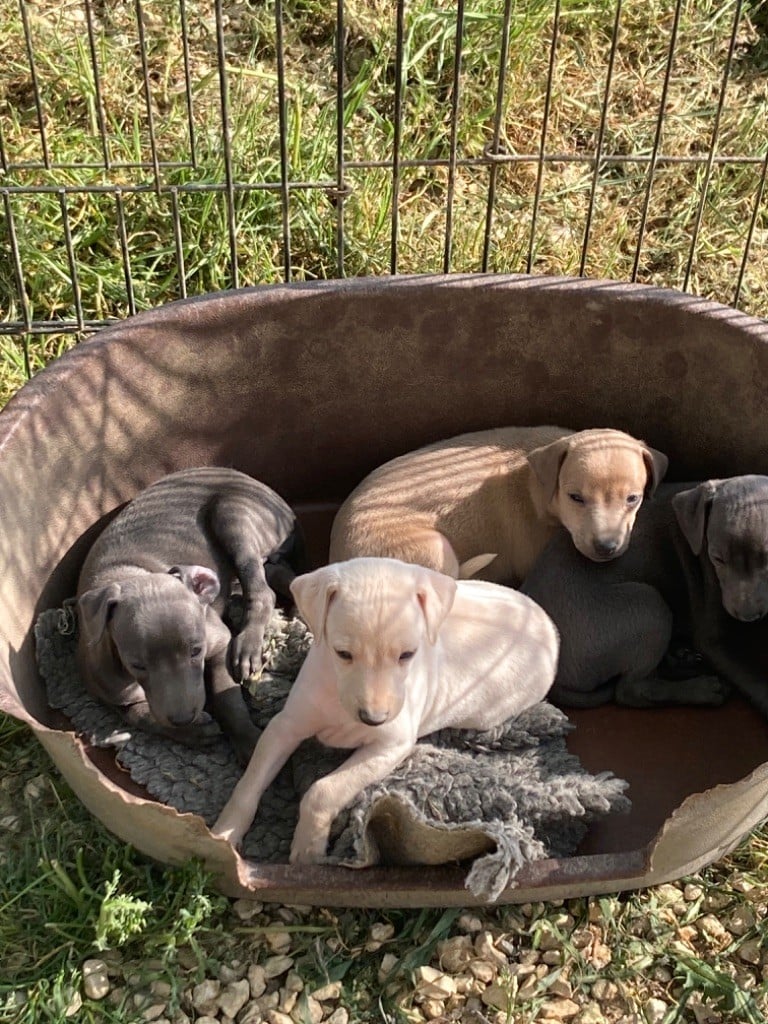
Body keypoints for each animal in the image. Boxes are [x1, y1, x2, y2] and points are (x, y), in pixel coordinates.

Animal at [76, 468, 305, 765]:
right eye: (137, 664)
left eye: (196, 651)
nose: (184, 719)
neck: (128, 573)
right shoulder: (109, 692)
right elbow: (140, 715)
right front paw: (195, 733)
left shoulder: (218, 642)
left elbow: (227, 698)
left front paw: (249, 743)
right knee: (279, 574)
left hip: (231, 513)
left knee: (263, 590)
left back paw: (248, 647)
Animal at [211, 557, 561, 860]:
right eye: (342, 653)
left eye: (408, 654)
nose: (373, 718)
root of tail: (546, 624)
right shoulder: (285, 725)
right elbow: (249, 783)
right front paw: (223, 835)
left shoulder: (390, 745)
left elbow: (323, 790)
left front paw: (308, 848)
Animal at [520, 473, 768, 708]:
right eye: (717, 559)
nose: (747, 616)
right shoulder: (712, 637)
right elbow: (752, 678)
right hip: (647, 605)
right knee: (631, 690)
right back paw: (703, 689)